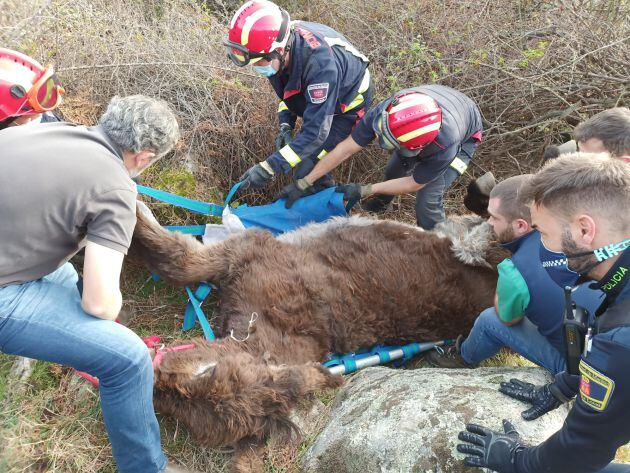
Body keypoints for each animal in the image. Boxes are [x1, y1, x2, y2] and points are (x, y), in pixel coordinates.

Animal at [128, 211, 508, 472]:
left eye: (207, 375)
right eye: (178, 410)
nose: (150, 377)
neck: (267, 328)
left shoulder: (247, 248)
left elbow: (180, 259)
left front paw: (135, 209)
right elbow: (179, 263)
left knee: (482, 241)